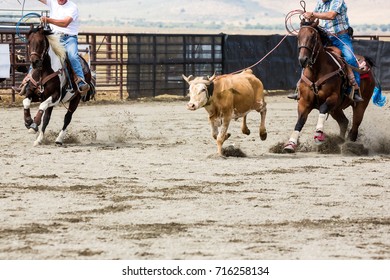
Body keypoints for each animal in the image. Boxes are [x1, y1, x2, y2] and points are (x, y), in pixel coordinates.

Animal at [284, 19, 374, 153]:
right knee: (344, 122)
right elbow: (300, 122)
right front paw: (291, 144)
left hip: (361, 105)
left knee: (354, 127)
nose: (303, 59)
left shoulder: (333, 97)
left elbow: (322, 109)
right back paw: (339, 141)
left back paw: (349, 146)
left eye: (313, 37)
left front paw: (318, 135)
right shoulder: (304, 102)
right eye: (298, 37)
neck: (316, 72)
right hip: (336, 109)